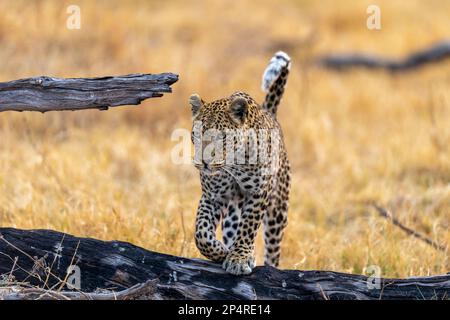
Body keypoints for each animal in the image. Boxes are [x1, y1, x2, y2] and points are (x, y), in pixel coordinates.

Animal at [187, 50, 290, 276]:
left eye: (222, 137)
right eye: (196, 135)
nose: (203, 162)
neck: (233, 165)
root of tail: (270, 112)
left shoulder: (259, 193)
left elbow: (249, 227)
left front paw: (239, 258)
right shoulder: (213, 195)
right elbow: (201, 233)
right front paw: (222, 252)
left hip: (278, 210)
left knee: (273, 249)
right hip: (233, 211)